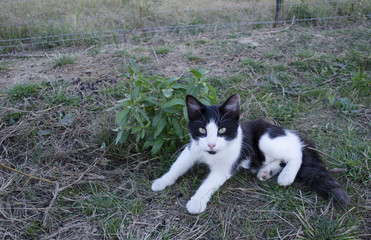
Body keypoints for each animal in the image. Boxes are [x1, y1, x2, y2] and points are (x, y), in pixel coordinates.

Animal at [152, 93, 352, 214]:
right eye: (202, 130)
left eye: (222, 130)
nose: (211, 144)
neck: (211, 154)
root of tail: (288, 132)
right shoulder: (192, 148)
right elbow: (178, 165)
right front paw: (162, 181)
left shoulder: (226, 166)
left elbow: (209, 183)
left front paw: (196, 202)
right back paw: (267, 171)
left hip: (266, 139)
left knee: (297, 151)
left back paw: (286, 176)